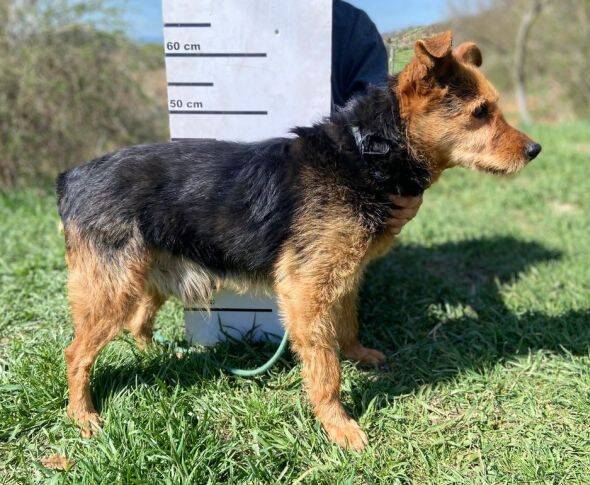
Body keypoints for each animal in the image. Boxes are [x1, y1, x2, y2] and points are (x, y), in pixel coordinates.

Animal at [56, 31, 541, 449]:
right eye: (480, 112)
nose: (535, 150)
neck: (367, 152)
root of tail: (71, 177)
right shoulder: (306, 290)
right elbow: (325, 370)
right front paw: (338, 426)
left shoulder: (341, 276)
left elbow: (346, 325)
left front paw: (358, 355)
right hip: (111, 290)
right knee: (75, 353)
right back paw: (84, 417)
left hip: (146, 276)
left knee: (138, 324)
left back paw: (161, 357)